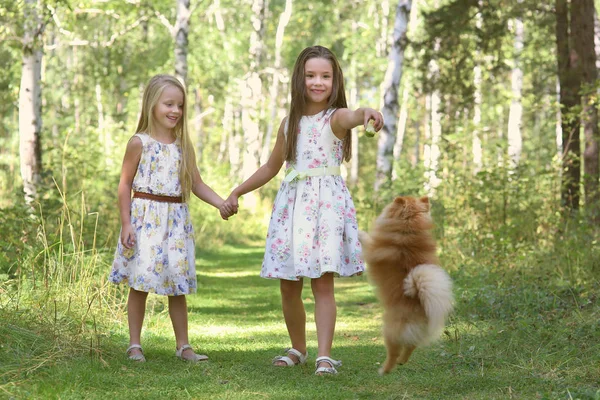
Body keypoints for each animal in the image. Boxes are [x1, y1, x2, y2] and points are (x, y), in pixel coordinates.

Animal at [358, 197, 452, 376]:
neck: (408, 229)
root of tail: (419, 302)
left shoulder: (371, 250)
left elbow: (366, 239)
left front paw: (359, 232)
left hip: (389, 330)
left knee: (393, 352)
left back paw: (385, 369)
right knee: (411, 346)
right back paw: (402, 361)